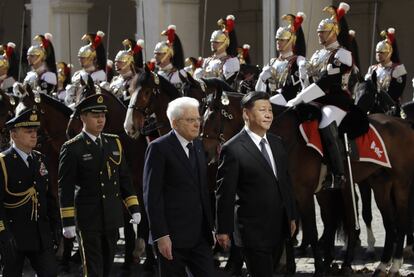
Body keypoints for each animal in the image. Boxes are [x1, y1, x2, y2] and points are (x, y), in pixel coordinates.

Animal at [202, 91, 414, 274]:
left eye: (212, 117)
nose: (205, 152)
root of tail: (404, 124)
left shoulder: (303, 193)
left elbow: (311, 230)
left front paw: (318, 268)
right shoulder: (287, 194)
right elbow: (289, 230)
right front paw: (290, 268)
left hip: (399, 185)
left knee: (399, 222)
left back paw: (390, 264)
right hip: (379, 185)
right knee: (388, 224)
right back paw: (380, 265)